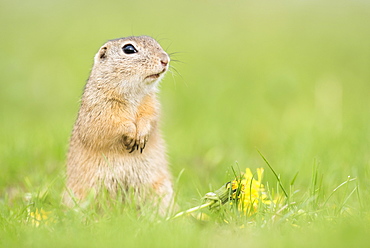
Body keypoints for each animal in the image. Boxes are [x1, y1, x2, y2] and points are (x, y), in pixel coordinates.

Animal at [64, 35, 173, 213]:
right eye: (129, 49)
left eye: (155, 41)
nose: (165, 60)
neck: (133, 93)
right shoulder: (100, 110)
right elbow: (111, 125)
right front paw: (131, 134)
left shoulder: (151, 105)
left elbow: (149, 118)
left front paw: (141, 136)